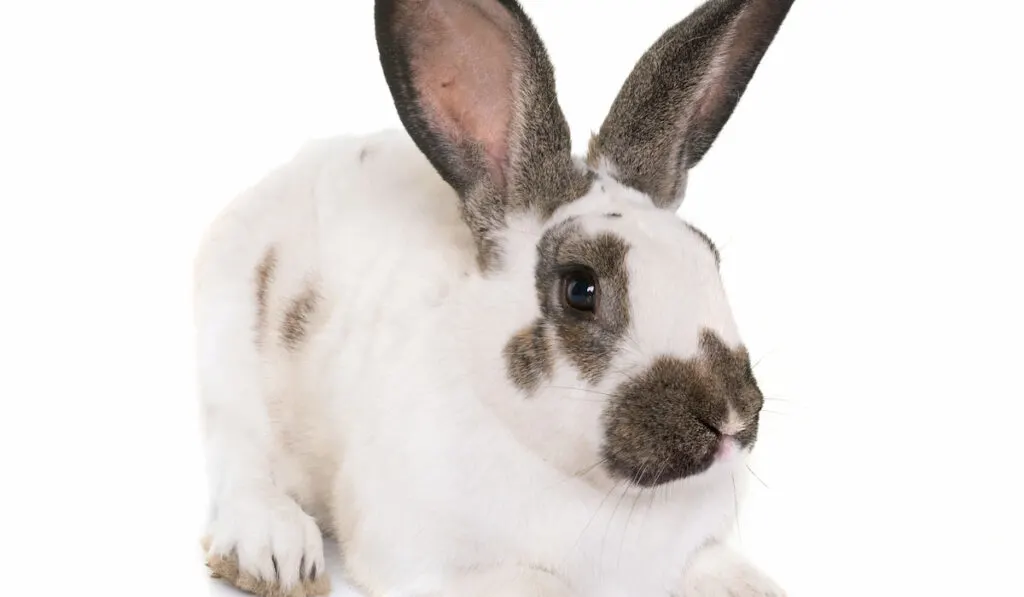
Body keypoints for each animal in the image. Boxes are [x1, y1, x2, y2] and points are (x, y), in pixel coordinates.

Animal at [193, 1, 798, 597]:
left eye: (709, 257)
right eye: (581, 289)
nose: (731, 417)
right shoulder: (432, 565)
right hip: (231, 361)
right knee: (241, 459)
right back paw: (276, 554)